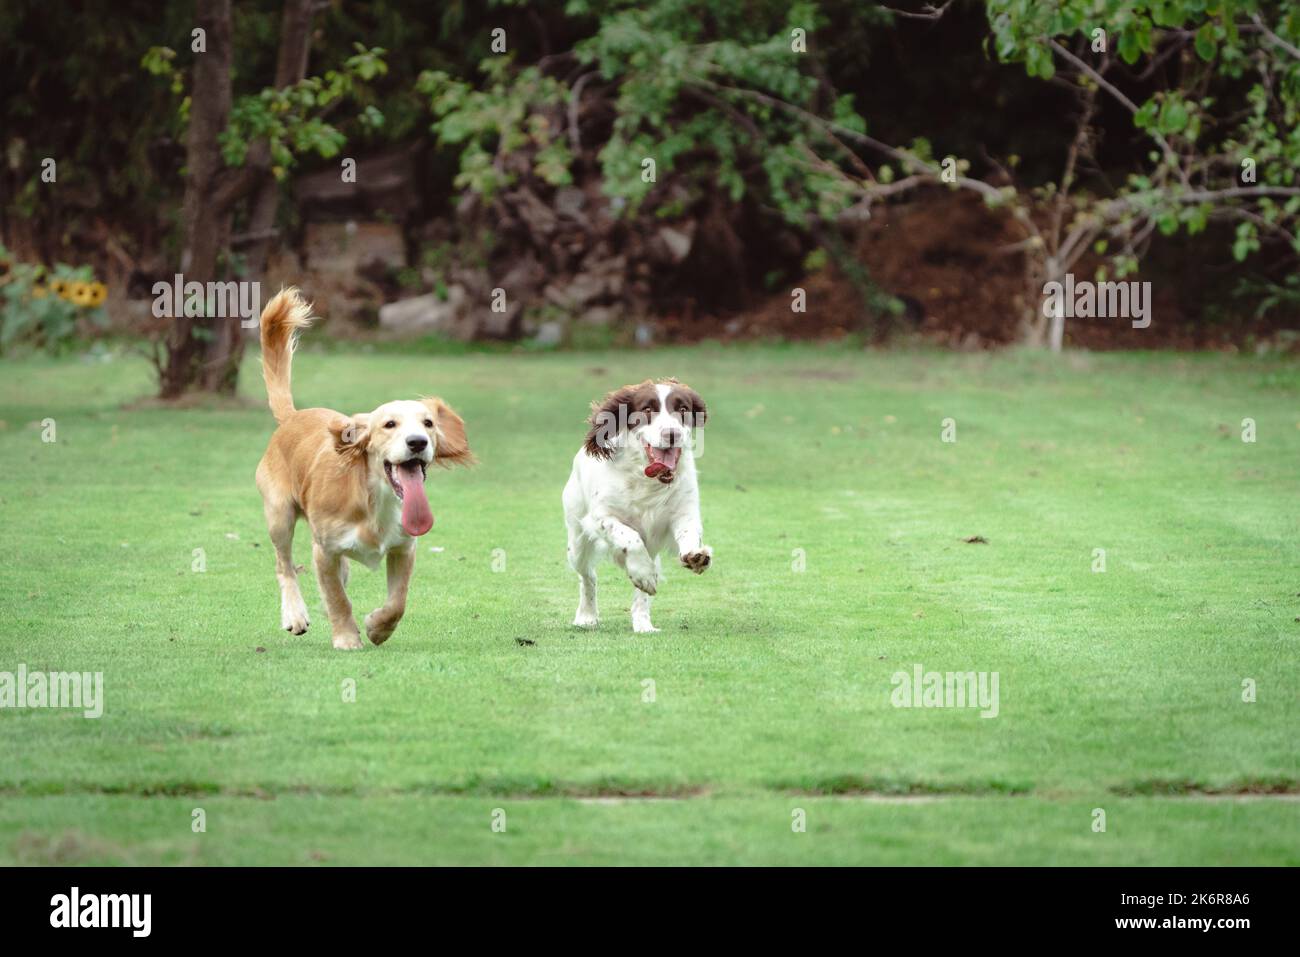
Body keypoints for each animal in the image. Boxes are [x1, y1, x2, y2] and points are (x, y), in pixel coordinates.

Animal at [564, 377, 712, 631]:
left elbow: (689, 532)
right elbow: (629, 537)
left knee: (641, 591)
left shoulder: (684, 511)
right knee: (588, 576)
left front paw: (696, 556)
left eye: (683, 409)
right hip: (577, 543)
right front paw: (643, 573)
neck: (648, 478)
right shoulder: (601, 517)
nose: (672, 434)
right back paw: (587, 616)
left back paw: (643, 624)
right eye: (647, 409)